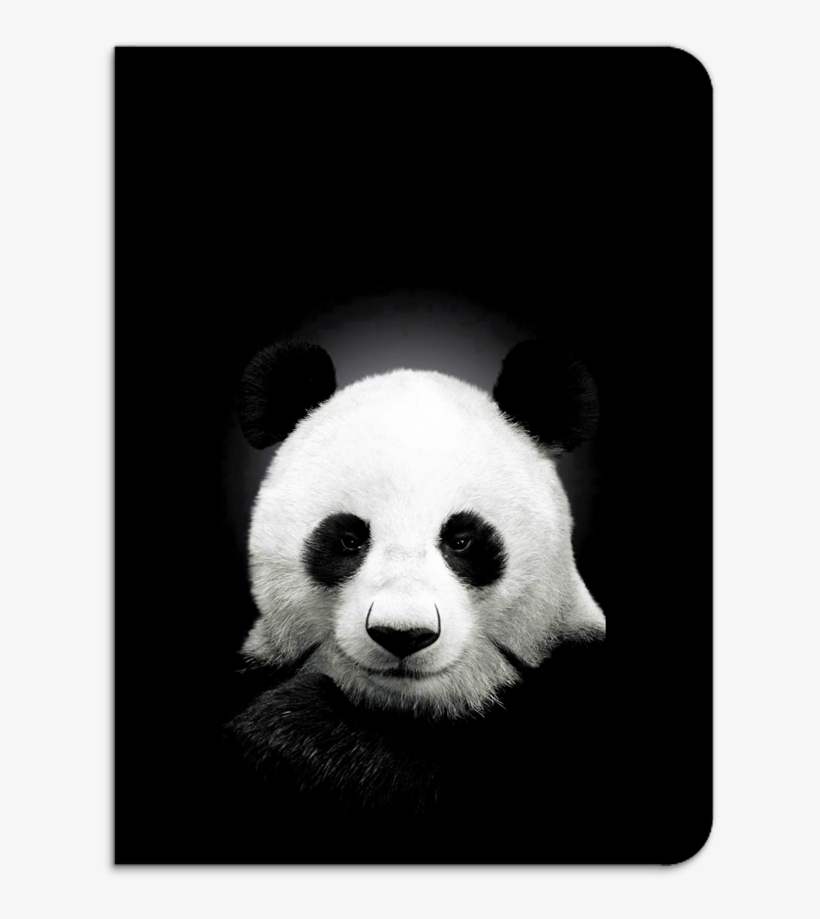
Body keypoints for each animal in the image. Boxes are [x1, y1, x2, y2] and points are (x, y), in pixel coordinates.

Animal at [223, 338, 607, 862]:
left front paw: (295, 730)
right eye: (349, 540)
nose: (402, 635)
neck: (408, 713)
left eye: (462, 540)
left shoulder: (571, 696)